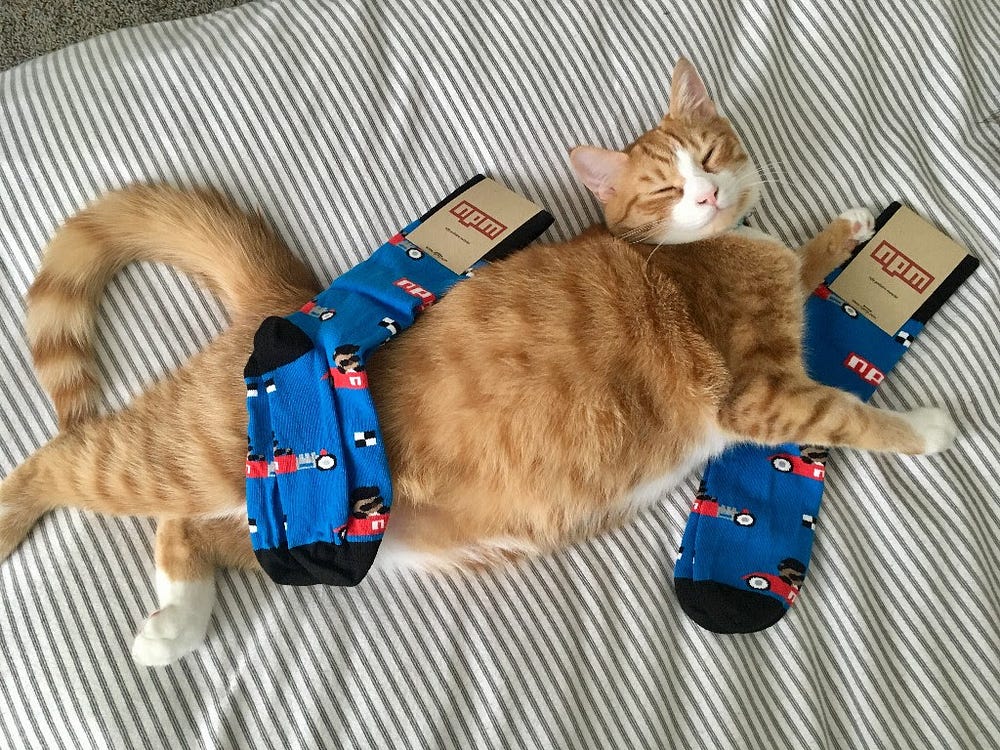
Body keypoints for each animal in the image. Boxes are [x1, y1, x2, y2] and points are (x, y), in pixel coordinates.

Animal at [0, 59, 955, 666]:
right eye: (664, 186)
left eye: (711, 155)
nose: (708, 191)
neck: (710, 247)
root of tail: (294, 309)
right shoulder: (759, 392)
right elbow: (845, 411)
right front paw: (926, 427)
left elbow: (804, 263)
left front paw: (847, 229)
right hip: (173, 455)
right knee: (55, 464)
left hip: (279, 518)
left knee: (181, 530)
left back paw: (174, 624)